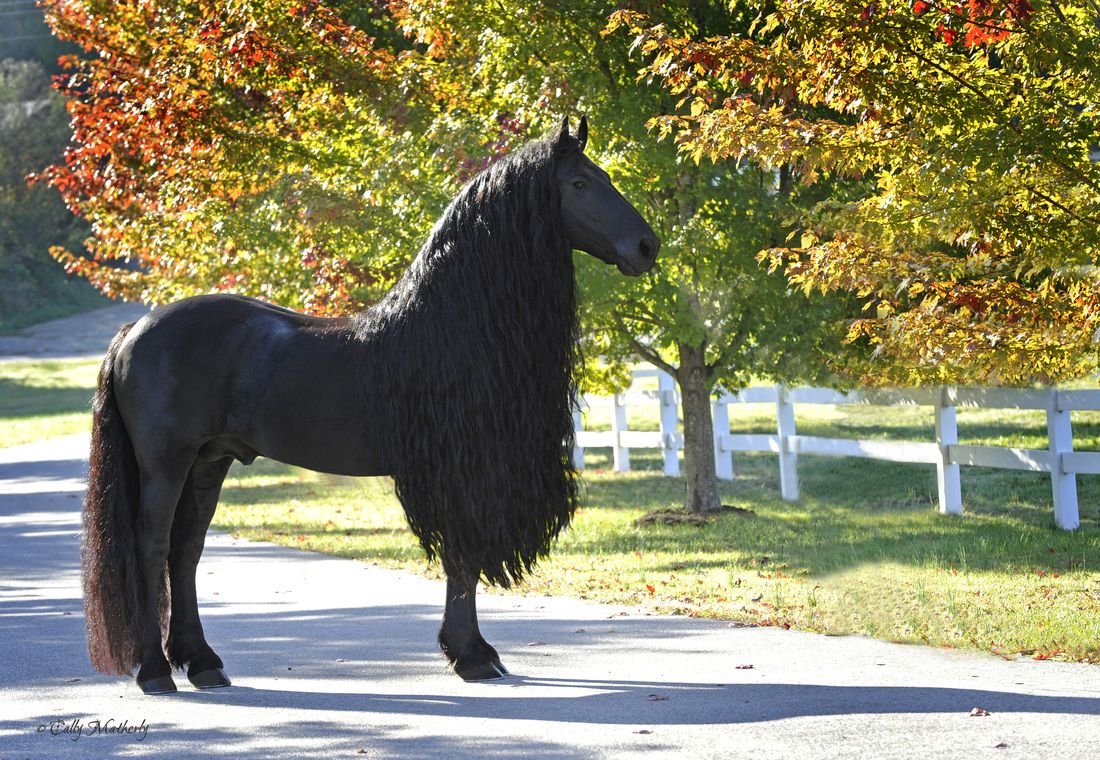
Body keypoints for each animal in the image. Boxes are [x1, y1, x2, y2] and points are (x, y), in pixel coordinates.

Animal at [81, 116, 660, 694]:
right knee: (151, 546)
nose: (647, 245)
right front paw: (471, 655)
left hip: (210, 460)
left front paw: (471, 651)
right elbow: (463, 557)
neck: (455, 323)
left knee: (186, 550)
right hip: (166, 463)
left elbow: (463, 561)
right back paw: (155, 671)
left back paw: (203, 662)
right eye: (580, 182)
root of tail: (134, 330)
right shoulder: (460, 472)